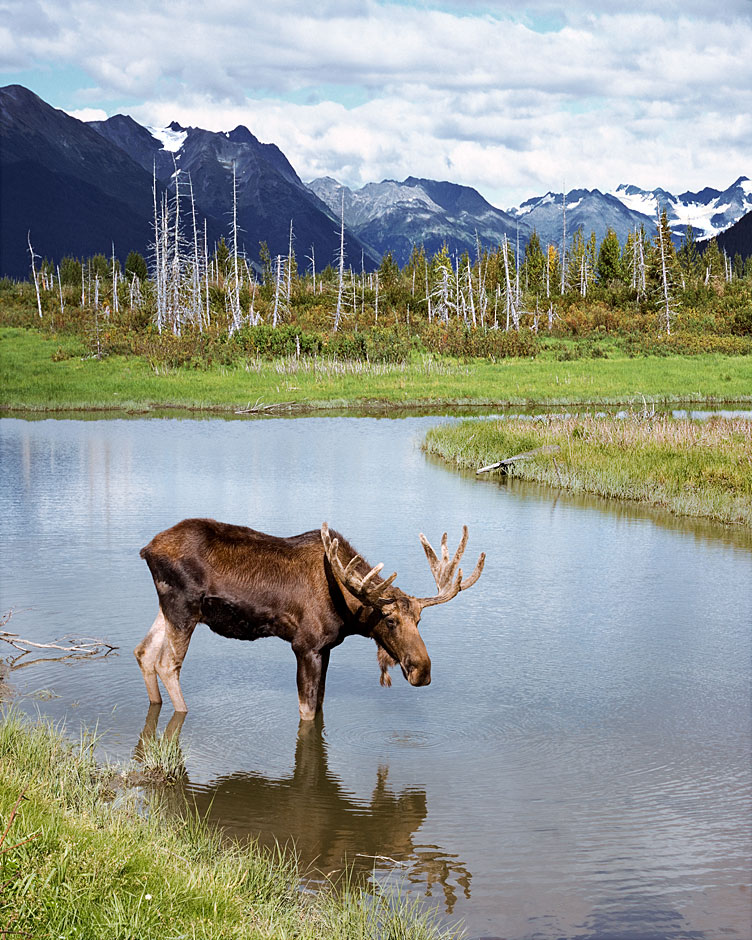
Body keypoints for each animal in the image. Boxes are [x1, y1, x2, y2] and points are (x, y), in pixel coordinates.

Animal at [137, 520, 484, 720]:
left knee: (144, 652)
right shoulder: (305, 646)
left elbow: (320, 704)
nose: (422, 671)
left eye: (420, 620)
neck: (348, 611)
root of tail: (146, 549)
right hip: (183, 607)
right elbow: (307, 711)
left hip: (166, 608)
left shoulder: (327, 648)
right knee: (167, 663)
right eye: (389, 620)